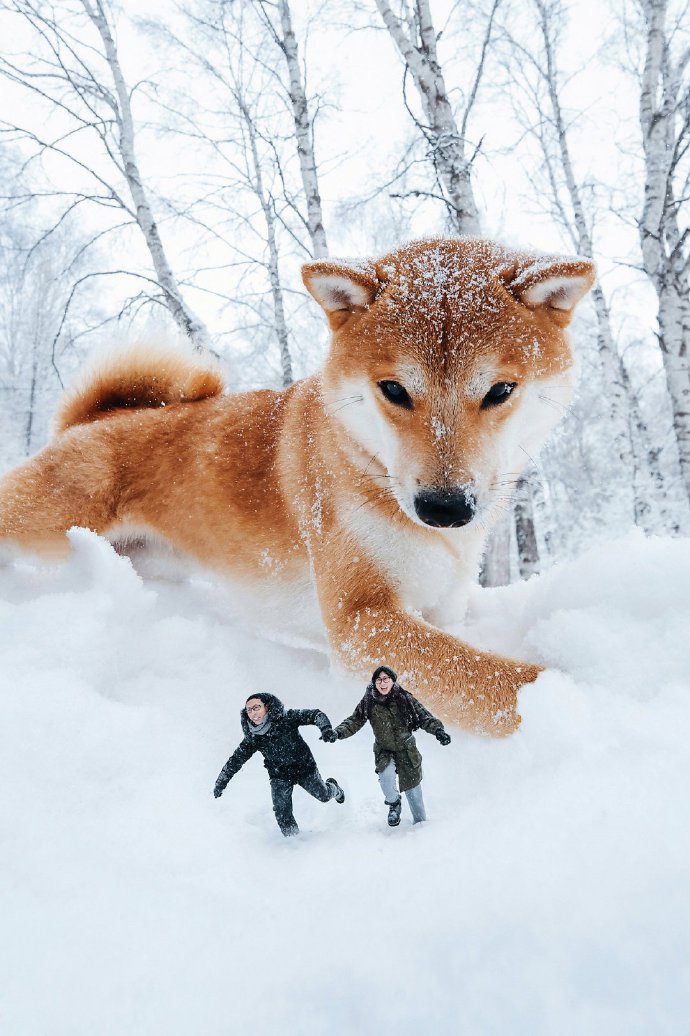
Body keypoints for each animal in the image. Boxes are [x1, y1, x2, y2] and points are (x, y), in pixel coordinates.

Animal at [0, 238, 592, 733]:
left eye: (501, 391)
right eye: (393, 389)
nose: (444, 508)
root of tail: (86, 423)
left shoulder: (440, 609)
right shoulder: (362, 618)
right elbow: (494, 681)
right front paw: (575, 699)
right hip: (38, 524)